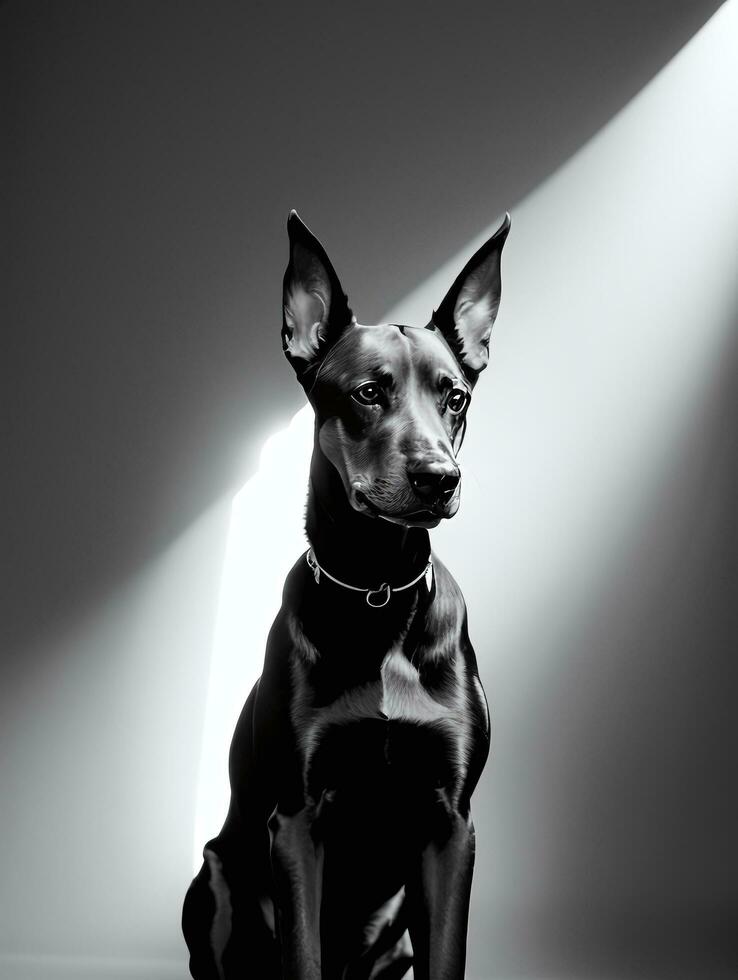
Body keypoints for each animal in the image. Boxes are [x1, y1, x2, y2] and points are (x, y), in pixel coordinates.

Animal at [181, 211, 508, 976]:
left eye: (455, 397)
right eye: (367, 392)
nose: (439, 478)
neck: (377, 588)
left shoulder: (451, 824)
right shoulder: (297, 818)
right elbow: (301, 952)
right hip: (217, 876)